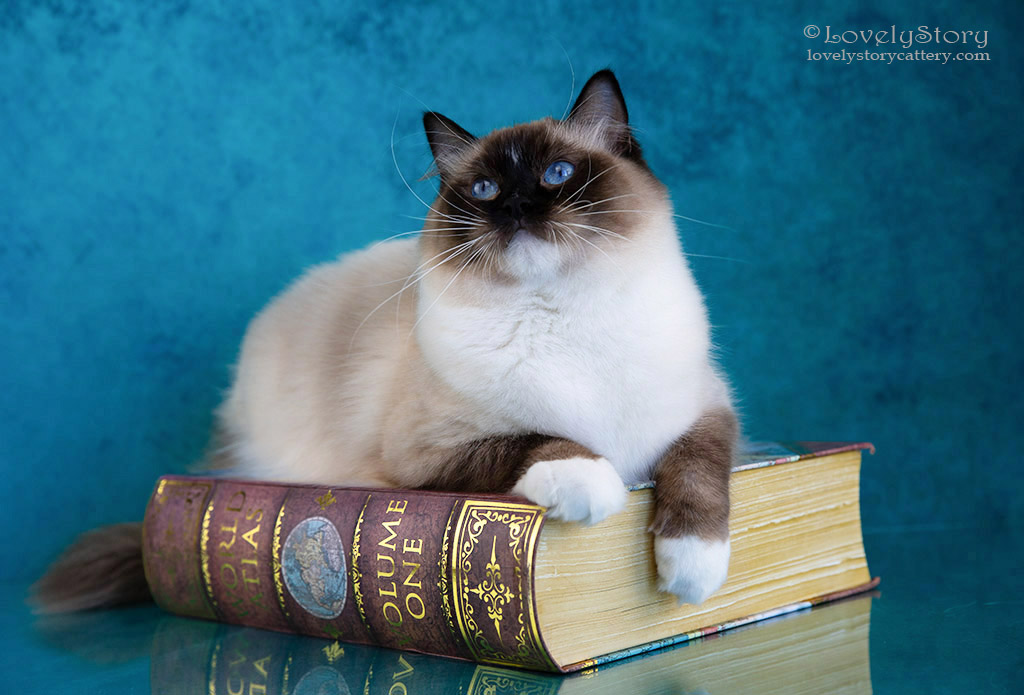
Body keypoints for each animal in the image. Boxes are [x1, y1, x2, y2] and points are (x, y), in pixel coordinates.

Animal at [32, 70, 737, 614]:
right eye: (485, 190)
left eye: (558, 173)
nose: (513, 209)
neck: (561, 315)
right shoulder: (427, 456)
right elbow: (541, 440)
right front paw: (594, 485)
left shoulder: (708, 407)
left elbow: (700, 470)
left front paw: (691, 574)